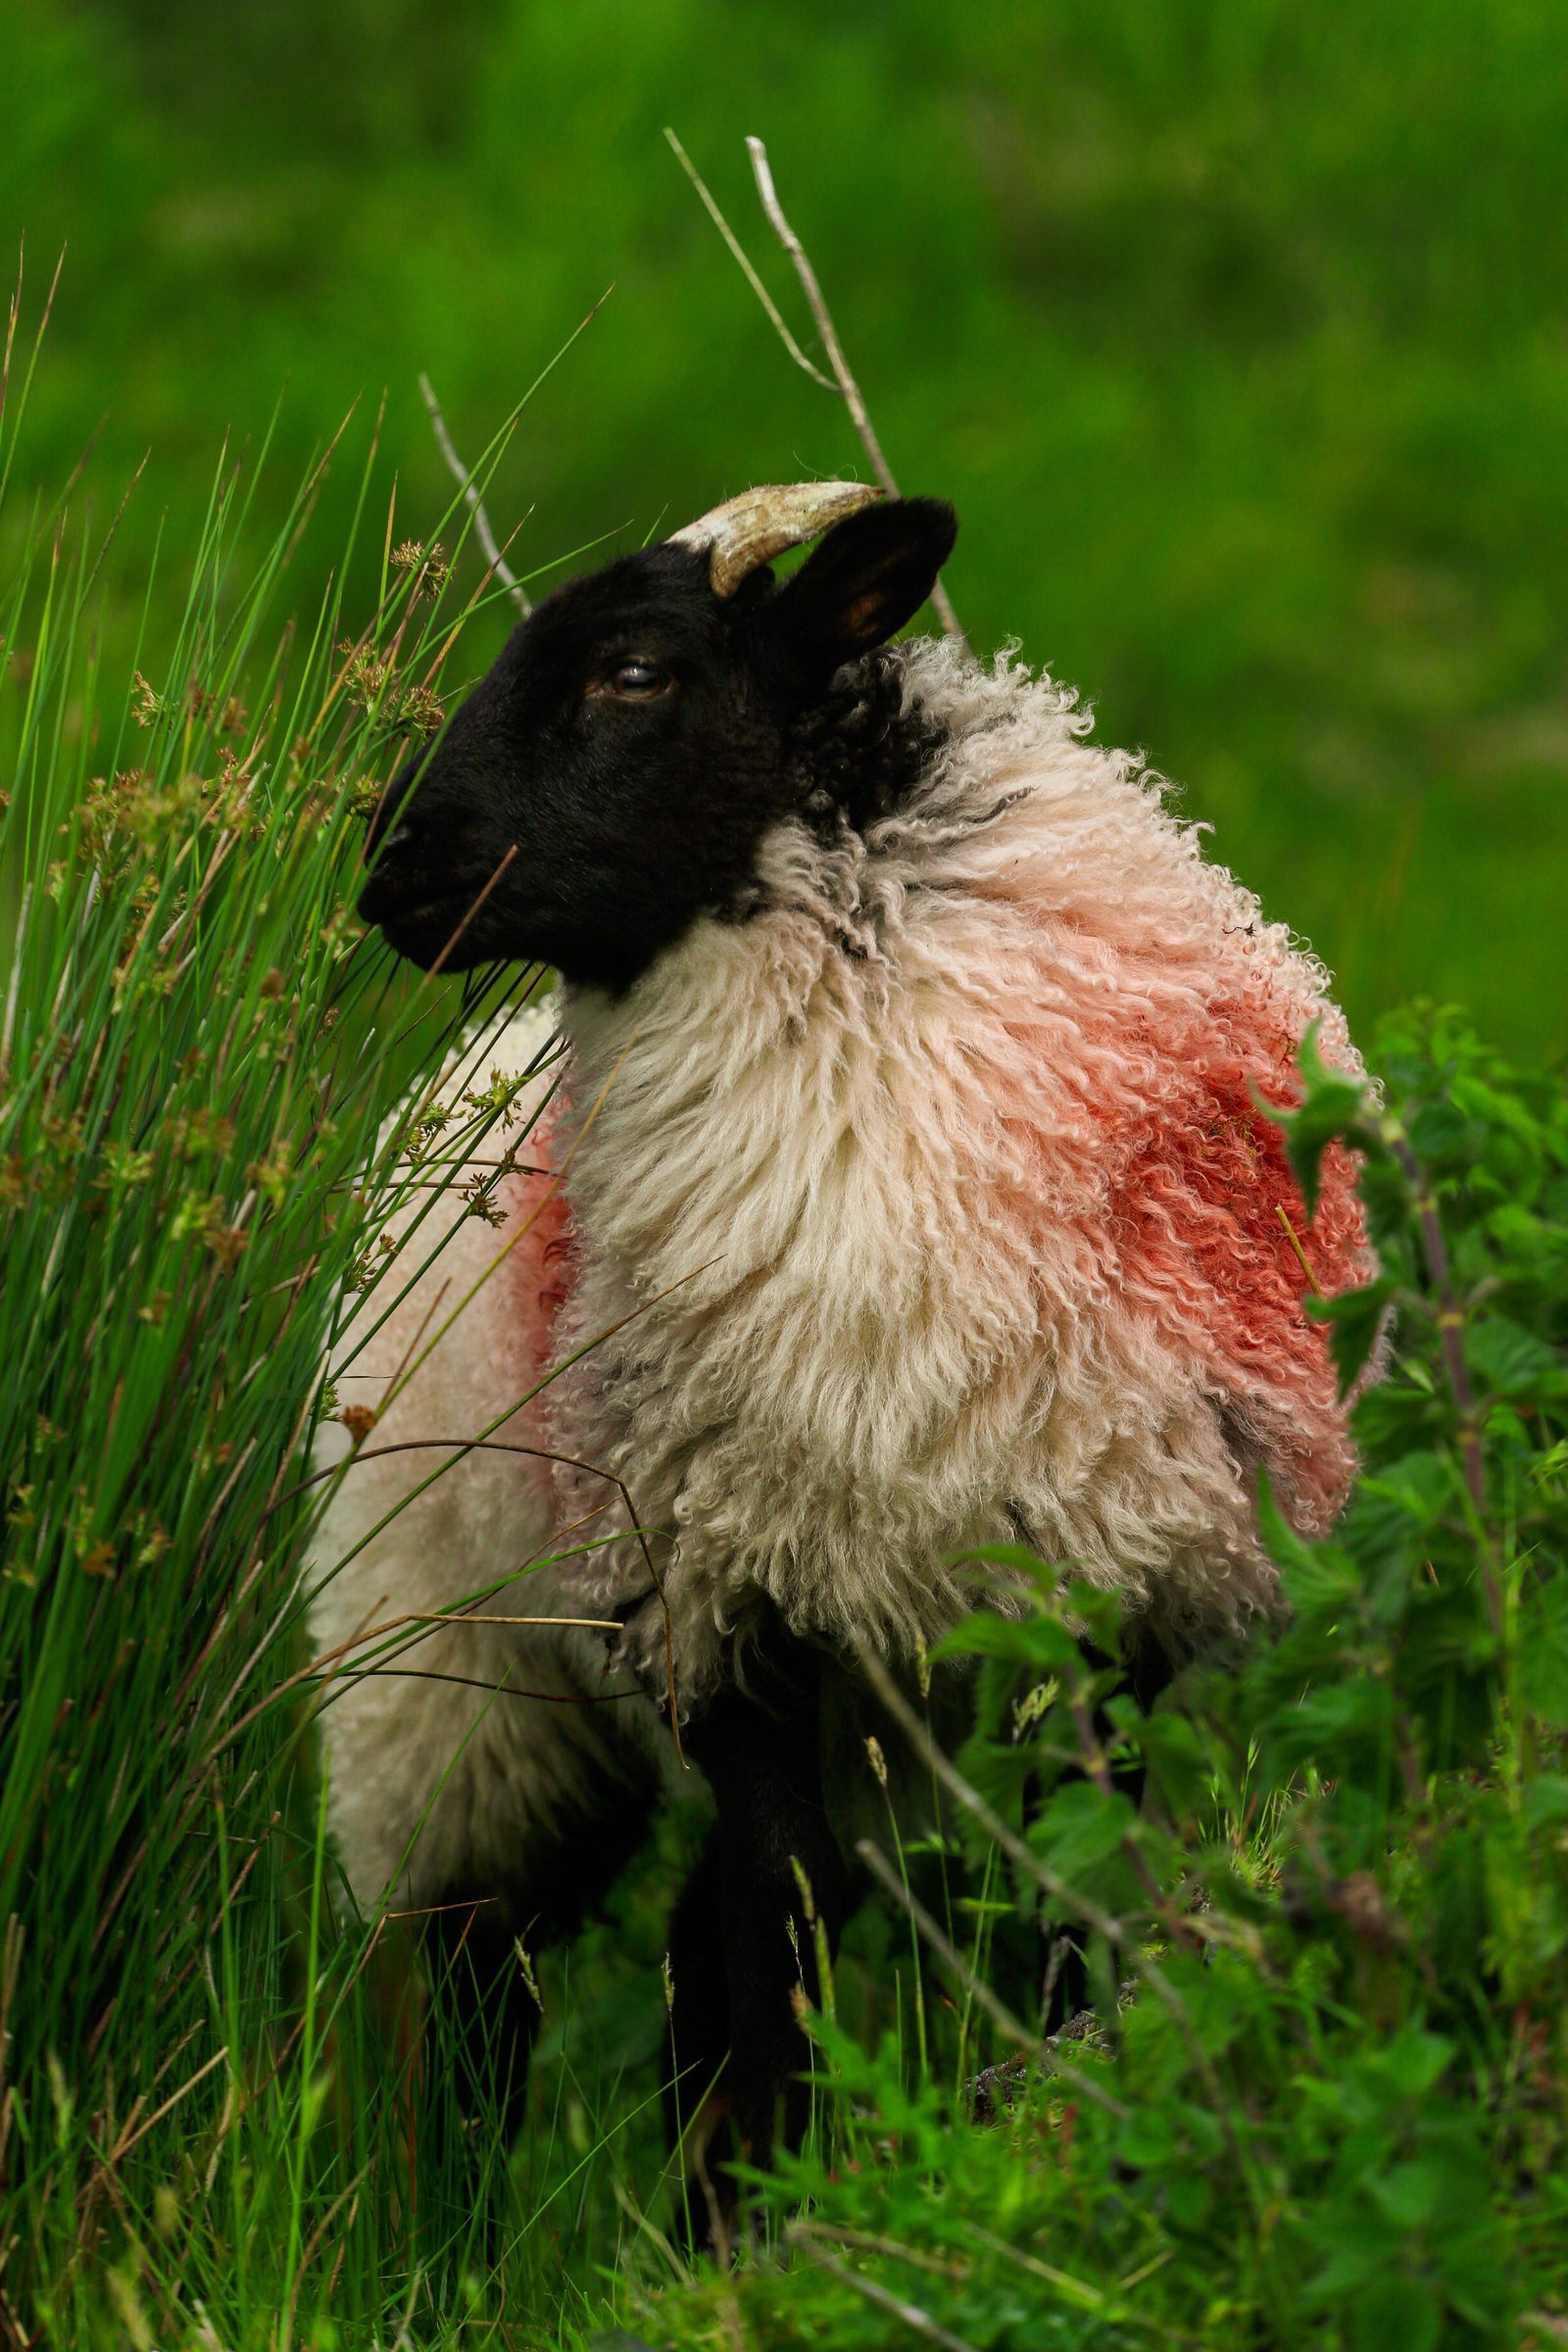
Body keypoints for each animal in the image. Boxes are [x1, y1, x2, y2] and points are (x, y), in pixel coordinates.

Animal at [311, 480, 1374, 2194]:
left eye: (635, 673)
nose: (396, 875)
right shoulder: (721, 1601)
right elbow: (778, 1931)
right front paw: (757, 2211)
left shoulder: (1098, 1603)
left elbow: (1045, 1902)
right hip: (440, 1660)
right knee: (480, 1975)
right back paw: (450, 2223)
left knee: (649, 1947)